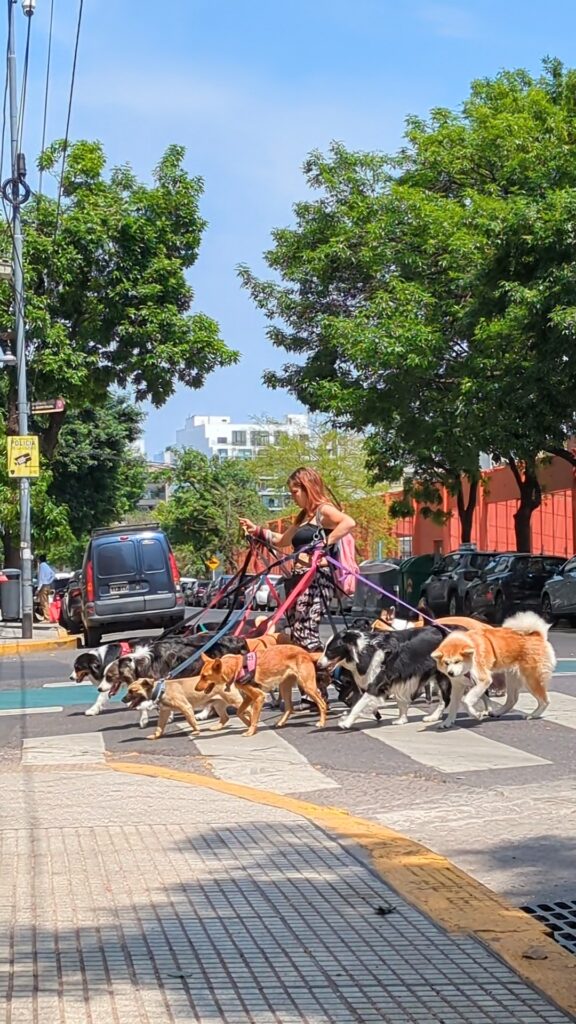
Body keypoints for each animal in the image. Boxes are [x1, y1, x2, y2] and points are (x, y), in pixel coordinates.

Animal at [119, 675, 248, 741]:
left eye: (132, 691)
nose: (122, 700)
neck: (160, 690)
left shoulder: (186, 707)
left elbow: (191, 720)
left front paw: (196, 730)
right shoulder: (164, 712)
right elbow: (159, 726)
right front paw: (156, 735)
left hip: (233, 701)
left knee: (246, 710)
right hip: (218, 704)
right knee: (225, 717)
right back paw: (218, 727)